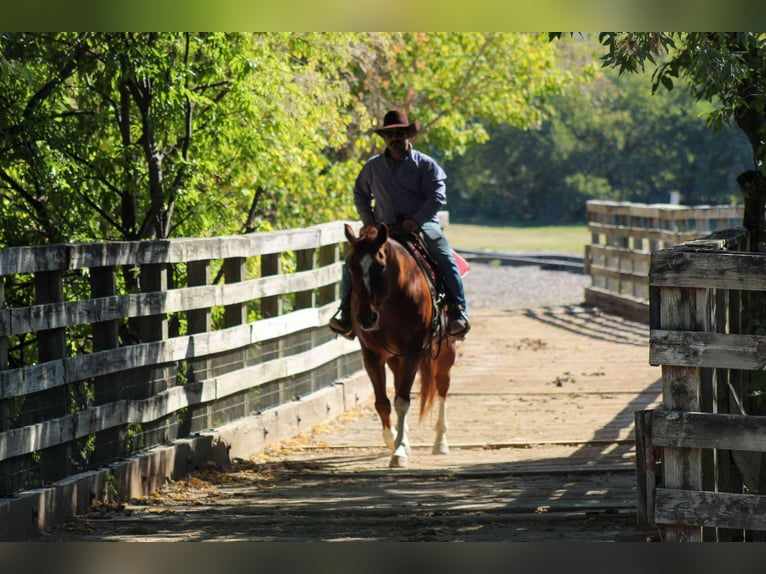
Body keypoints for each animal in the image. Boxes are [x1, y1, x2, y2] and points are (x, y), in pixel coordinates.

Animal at [343, 222, 457, 468]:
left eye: (381, 267)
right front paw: (393, 440)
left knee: (442, 387)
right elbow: (383, 402)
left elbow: (403, 401)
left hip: (446, 350)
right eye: (351, 268)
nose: (366, 318)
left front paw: (399, 453)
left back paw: (440, 441)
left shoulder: (412, 352)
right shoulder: (372, 354)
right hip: (395, 359)